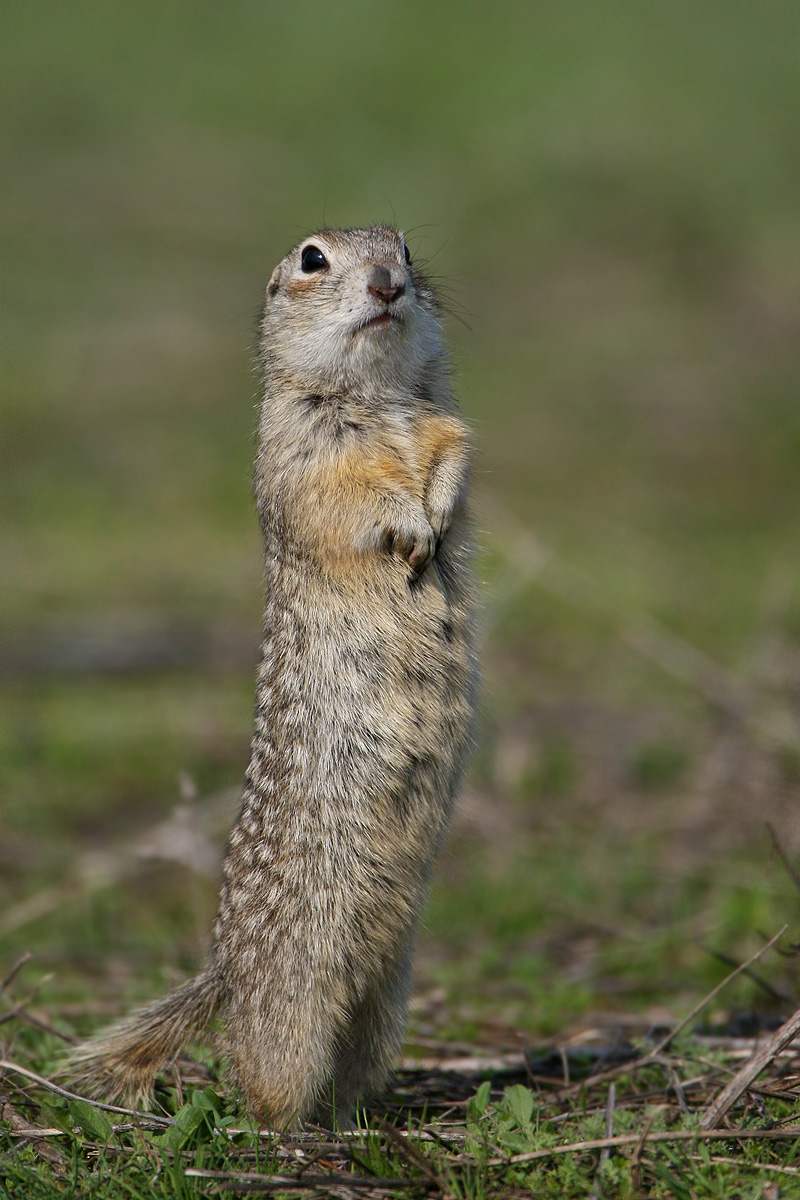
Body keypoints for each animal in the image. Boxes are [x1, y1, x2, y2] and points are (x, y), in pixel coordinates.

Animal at [65, 223, 479, 1123]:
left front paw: (434, 516)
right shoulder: (305, 458)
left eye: (405, 245)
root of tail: (225, 974)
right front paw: (408, 528)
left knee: (350, 1069)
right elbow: (351, 498)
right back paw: (291, 1133)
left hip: (387, 995)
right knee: (266, 1080)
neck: (379, 398)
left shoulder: (448, 426)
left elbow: (453, 460)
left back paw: (357, 1121)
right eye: (313, 259)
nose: (389, 282)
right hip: (298, 997)